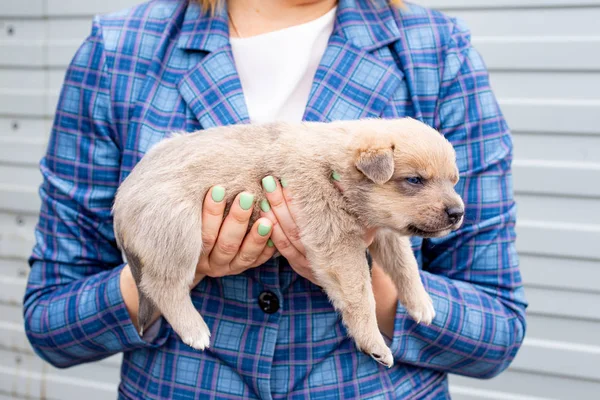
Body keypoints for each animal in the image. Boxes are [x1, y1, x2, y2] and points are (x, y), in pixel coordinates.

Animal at [112, 117, 464, 368]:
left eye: (454, 180)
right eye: (415, 180)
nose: (458, 213)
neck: (335, 169)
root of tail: (121, 199)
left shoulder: (384, 229)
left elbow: (405, 265)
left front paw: (420, 303)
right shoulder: (338, 245)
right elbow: (361, 297)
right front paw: (375, 344)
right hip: (178, 231)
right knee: (163, 285)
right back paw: (193, 330)